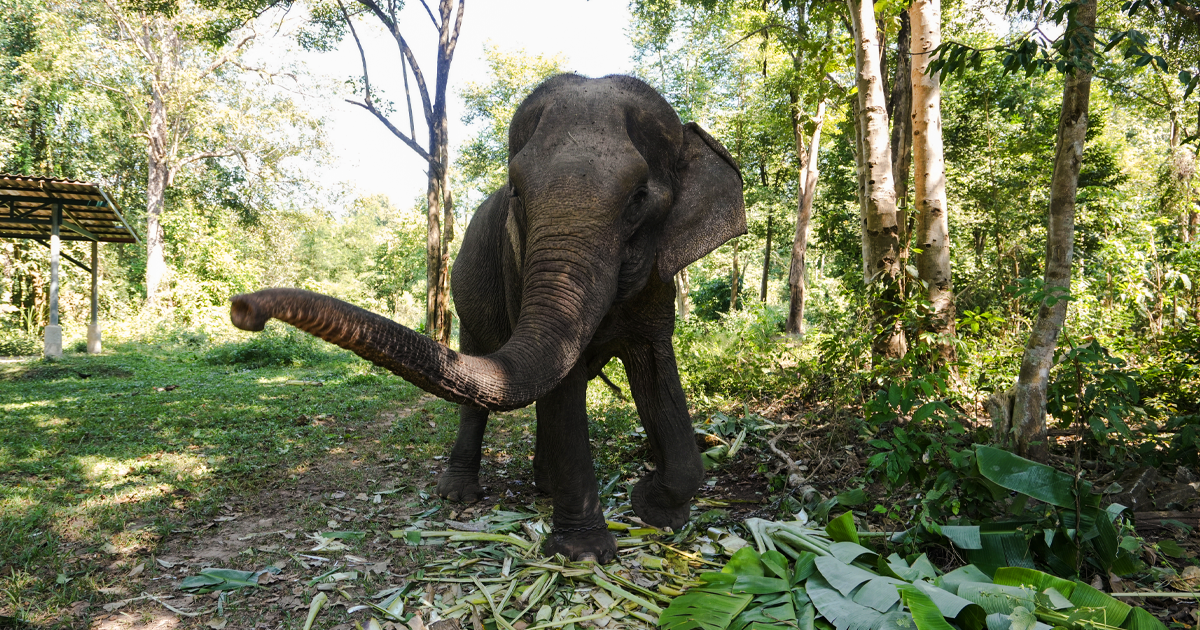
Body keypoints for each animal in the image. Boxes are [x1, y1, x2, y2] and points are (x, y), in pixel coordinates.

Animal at [230, 73, 745, 562]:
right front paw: (585, 554)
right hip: (468, 306)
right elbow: (562, 385)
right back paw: (460, 495)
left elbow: (656, 371)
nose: (244, 308)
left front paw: (658, 514)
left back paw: (544, 486)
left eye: (639, 197)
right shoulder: (515, 262)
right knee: (483, 383)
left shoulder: (659, 280)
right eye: (517, 193)